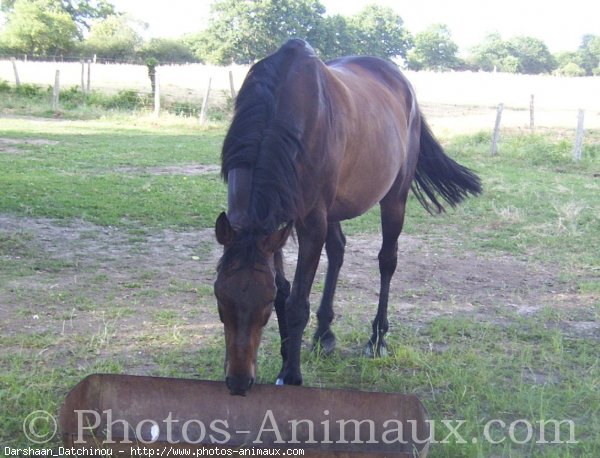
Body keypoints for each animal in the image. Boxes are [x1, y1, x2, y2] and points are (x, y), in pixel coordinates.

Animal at [213, 39, 480, 396]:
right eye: (219, 297)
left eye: (264, 305)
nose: (239, 383)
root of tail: (401, 81)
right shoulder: (275, 226)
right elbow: (287, 289)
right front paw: (287, 354)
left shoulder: (310, 223)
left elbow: (296, 302)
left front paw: (290, 374)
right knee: (338, 249)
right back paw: (323, 335)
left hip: (394, 198)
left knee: (387, 260)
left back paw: (377, 339)